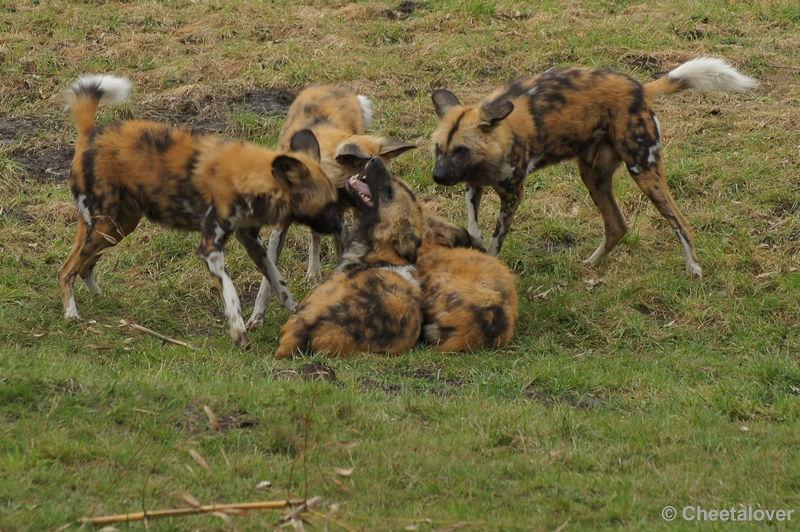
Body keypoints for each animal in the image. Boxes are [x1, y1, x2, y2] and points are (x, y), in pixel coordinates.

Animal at [58, 75, 340, 350]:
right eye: (327, 206)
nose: (339, 227)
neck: (249, 176)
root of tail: (91, 132)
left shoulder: (250, 239)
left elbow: (278, 283)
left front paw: (298, 314)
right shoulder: (210, 249)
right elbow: (232, 296)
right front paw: (240, 336)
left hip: (118, 227)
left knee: (84, 266)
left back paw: (98, 298)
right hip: (103, 224)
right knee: (65, 270)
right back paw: (72, 314)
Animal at [247, 83, 416, 328]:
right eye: (368, 179)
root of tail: (334, 87)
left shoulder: (339, 221)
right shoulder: (280, 228)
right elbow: (268, 278)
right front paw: (257, 316)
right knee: (314, 236)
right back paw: (313, 273)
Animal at [432, 57, 756, 278]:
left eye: (461, 150)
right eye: (438, 149)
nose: (437, 177)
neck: (499, 139)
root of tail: (642, 88)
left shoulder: (512, 196)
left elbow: (495, 242)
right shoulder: (473, 186)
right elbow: (474, 229)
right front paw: (475, 246)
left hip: (642, 169)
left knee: (680, 222)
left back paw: (693, 270)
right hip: (592, 174)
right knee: (617, 226)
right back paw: (589, 264)